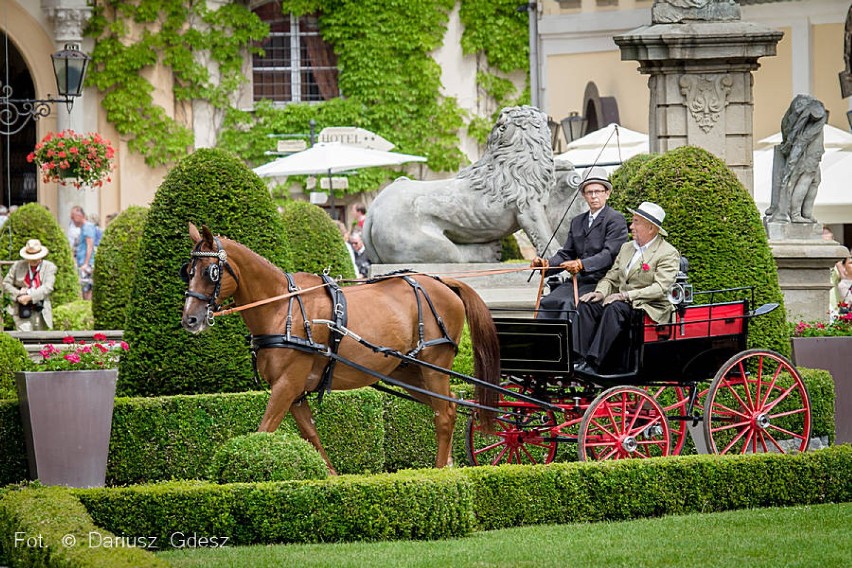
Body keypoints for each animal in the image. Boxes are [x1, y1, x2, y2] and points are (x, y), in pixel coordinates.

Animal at [180, 224, 500, 472]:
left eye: (211, 272)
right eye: (188, 271)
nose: (190, 319)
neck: (282, 308)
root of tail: (442, 281)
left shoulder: (286, 384)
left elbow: (264, 430)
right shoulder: (295, 392)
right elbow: (311, 435)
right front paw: (331, 476)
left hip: (433, 366)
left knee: (444, 415)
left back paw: (438, 470)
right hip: (409, 372)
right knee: (450, 405)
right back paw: (450, 463)